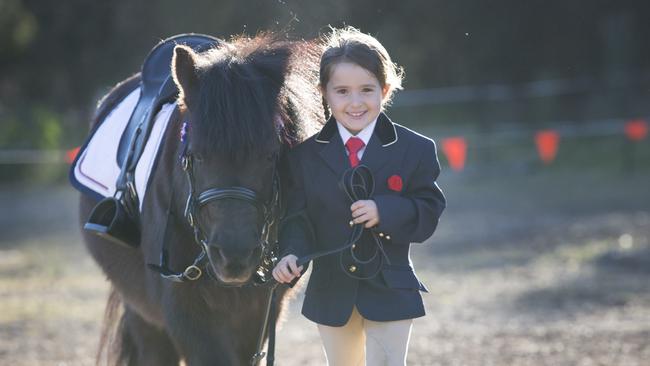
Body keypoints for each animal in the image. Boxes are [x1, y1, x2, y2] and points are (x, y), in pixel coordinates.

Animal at [79, 33, 322, 364]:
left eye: (271, 155)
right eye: (196, 155)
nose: (235, 256)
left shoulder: (261, 311)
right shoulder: (185, 314)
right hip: (144, 314)